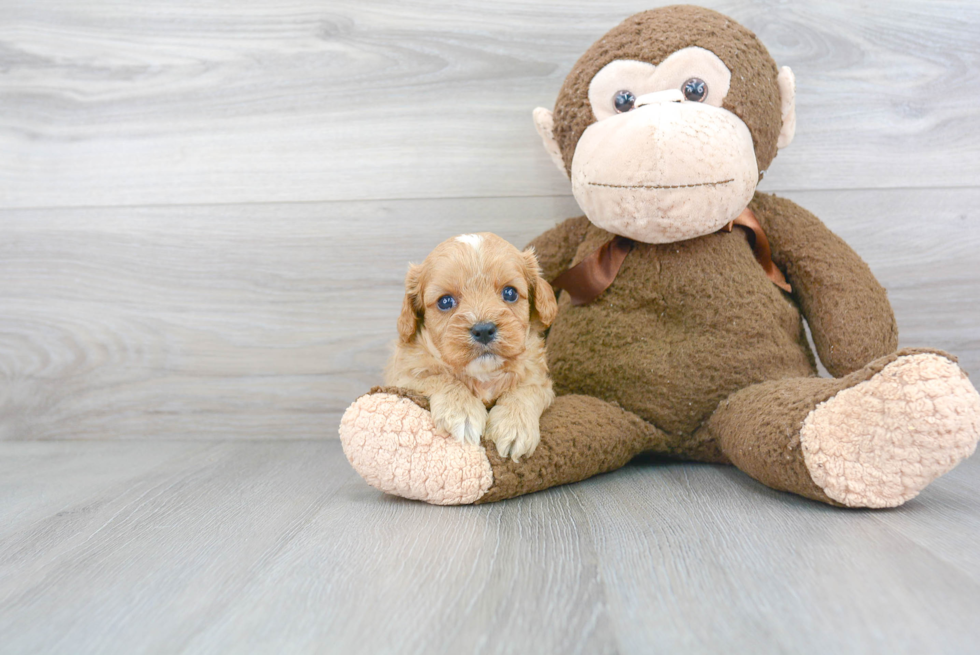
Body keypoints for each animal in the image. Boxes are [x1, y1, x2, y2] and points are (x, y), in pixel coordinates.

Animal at [384, 232, 560, 462]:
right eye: (445, 302)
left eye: (510, 293)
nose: (483, 330)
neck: (483, 373)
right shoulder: (403, 376)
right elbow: (440, 377)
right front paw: (462, 412)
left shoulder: (539, 379)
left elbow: (525, 390)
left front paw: (514, 425)